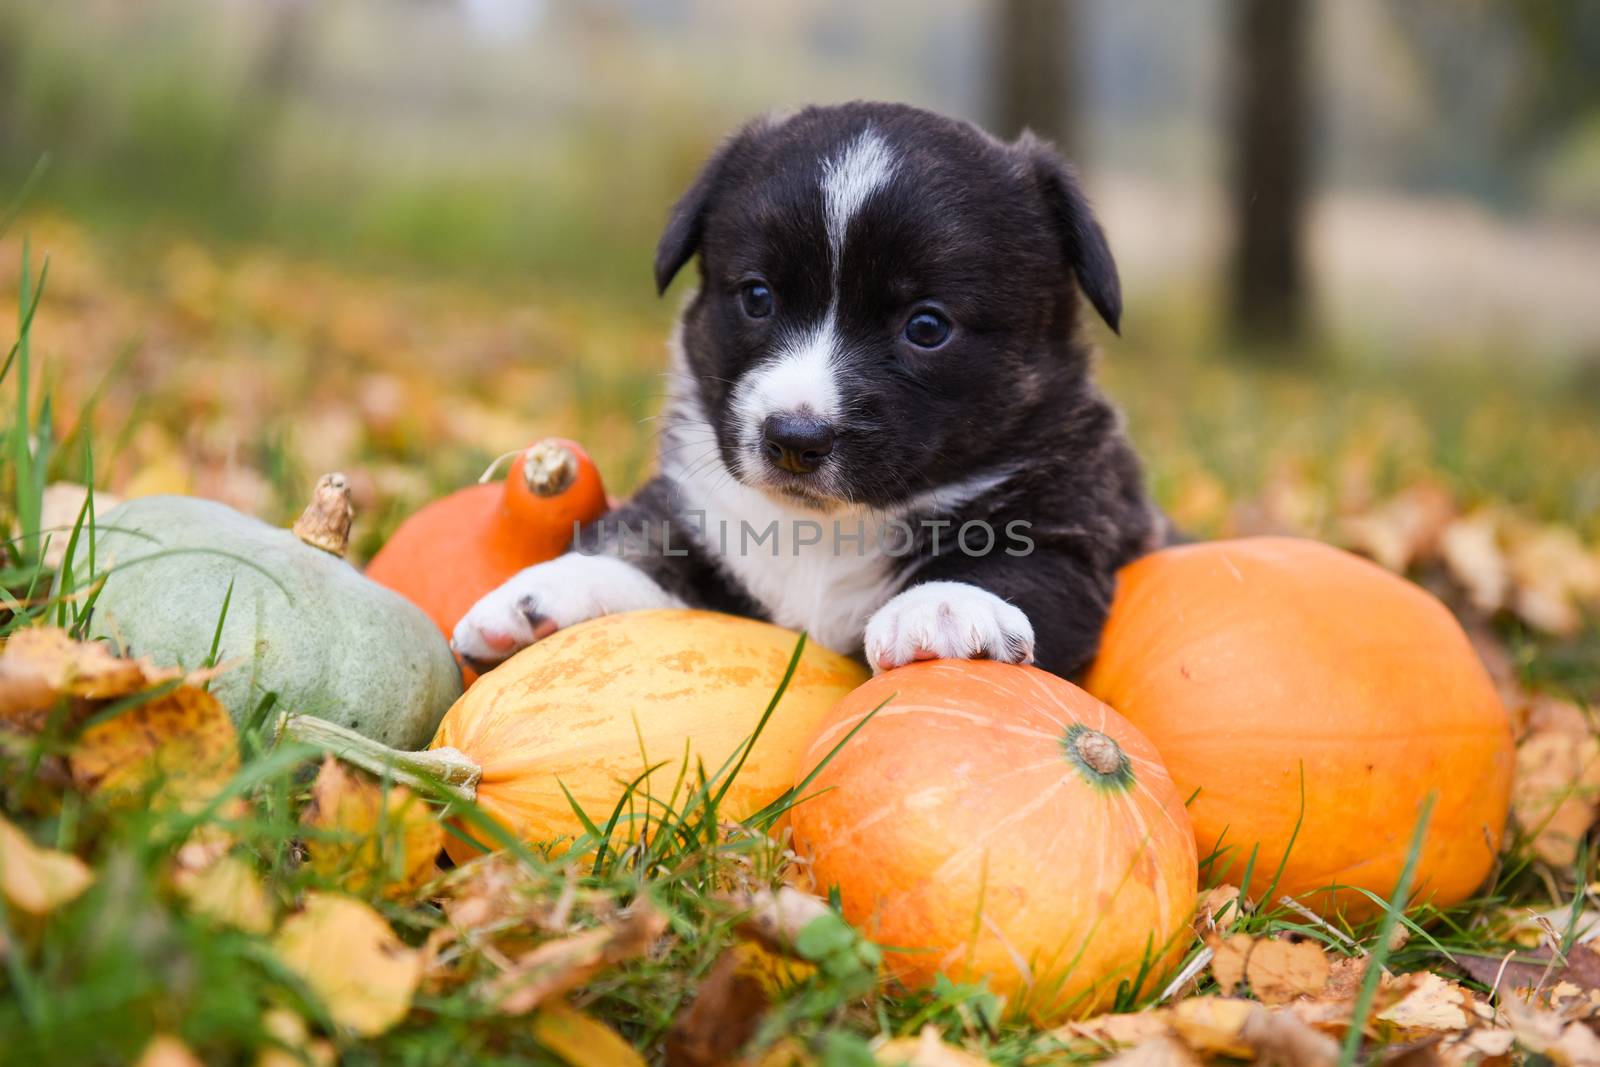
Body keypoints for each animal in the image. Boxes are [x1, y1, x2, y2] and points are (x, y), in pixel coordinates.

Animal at [457, 103, 1158, 681]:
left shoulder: (1076, 523)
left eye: (927, 326)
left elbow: (1018, 562)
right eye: (757, 296)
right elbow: (640, 545)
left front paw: (949, 608)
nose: (794, 440)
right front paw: (537, 599)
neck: (826, 530)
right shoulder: (699, 522)